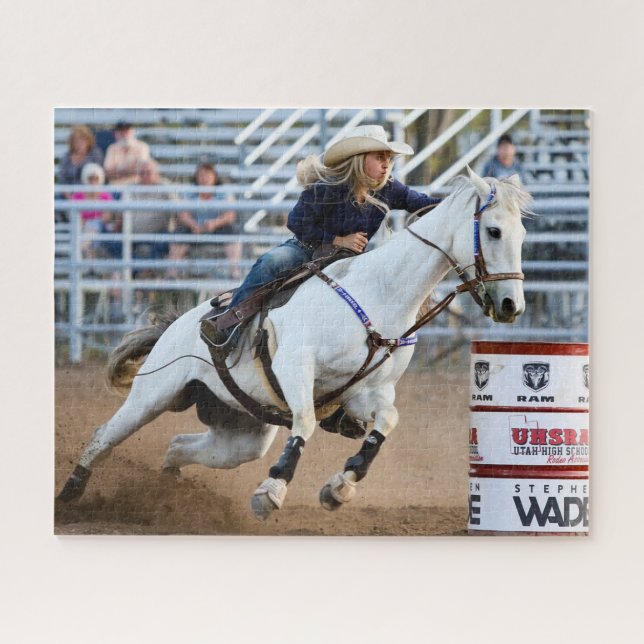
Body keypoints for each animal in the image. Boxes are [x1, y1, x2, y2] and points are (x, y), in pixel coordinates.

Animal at [57, 168, 530, 521]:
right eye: (492, 231)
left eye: (523, 234)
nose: (512, 305)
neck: (380, 292)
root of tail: (180, 324)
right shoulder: (296, 367)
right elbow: (303, 423)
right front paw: (271, 491)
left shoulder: (367, 392)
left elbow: (387, 422)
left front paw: (341, 486)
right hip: (153, 394)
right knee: (104, 436)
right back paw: (70, 496)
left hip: (241, 434)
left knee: (179, 446)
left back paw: (167, 494)